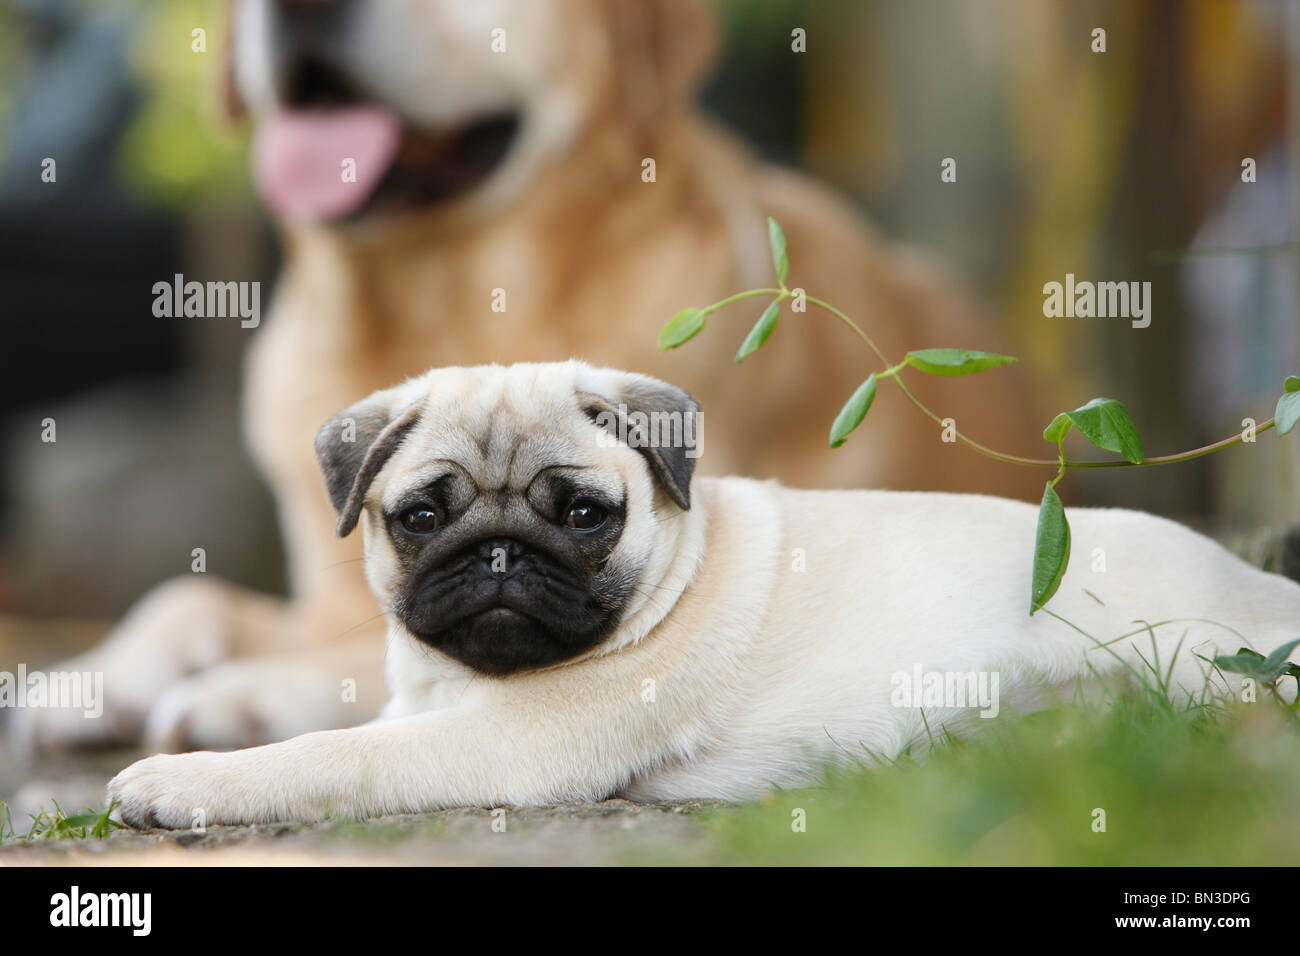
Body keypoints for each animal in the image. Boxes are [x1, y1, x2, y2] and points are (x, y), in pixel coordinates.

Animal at [106, 361, 1300, 827]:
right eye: (422, 517)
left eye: (584, 514)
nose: (498, 555)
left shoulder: (503, 743)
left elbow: (326, 755)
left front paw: (186, 778)